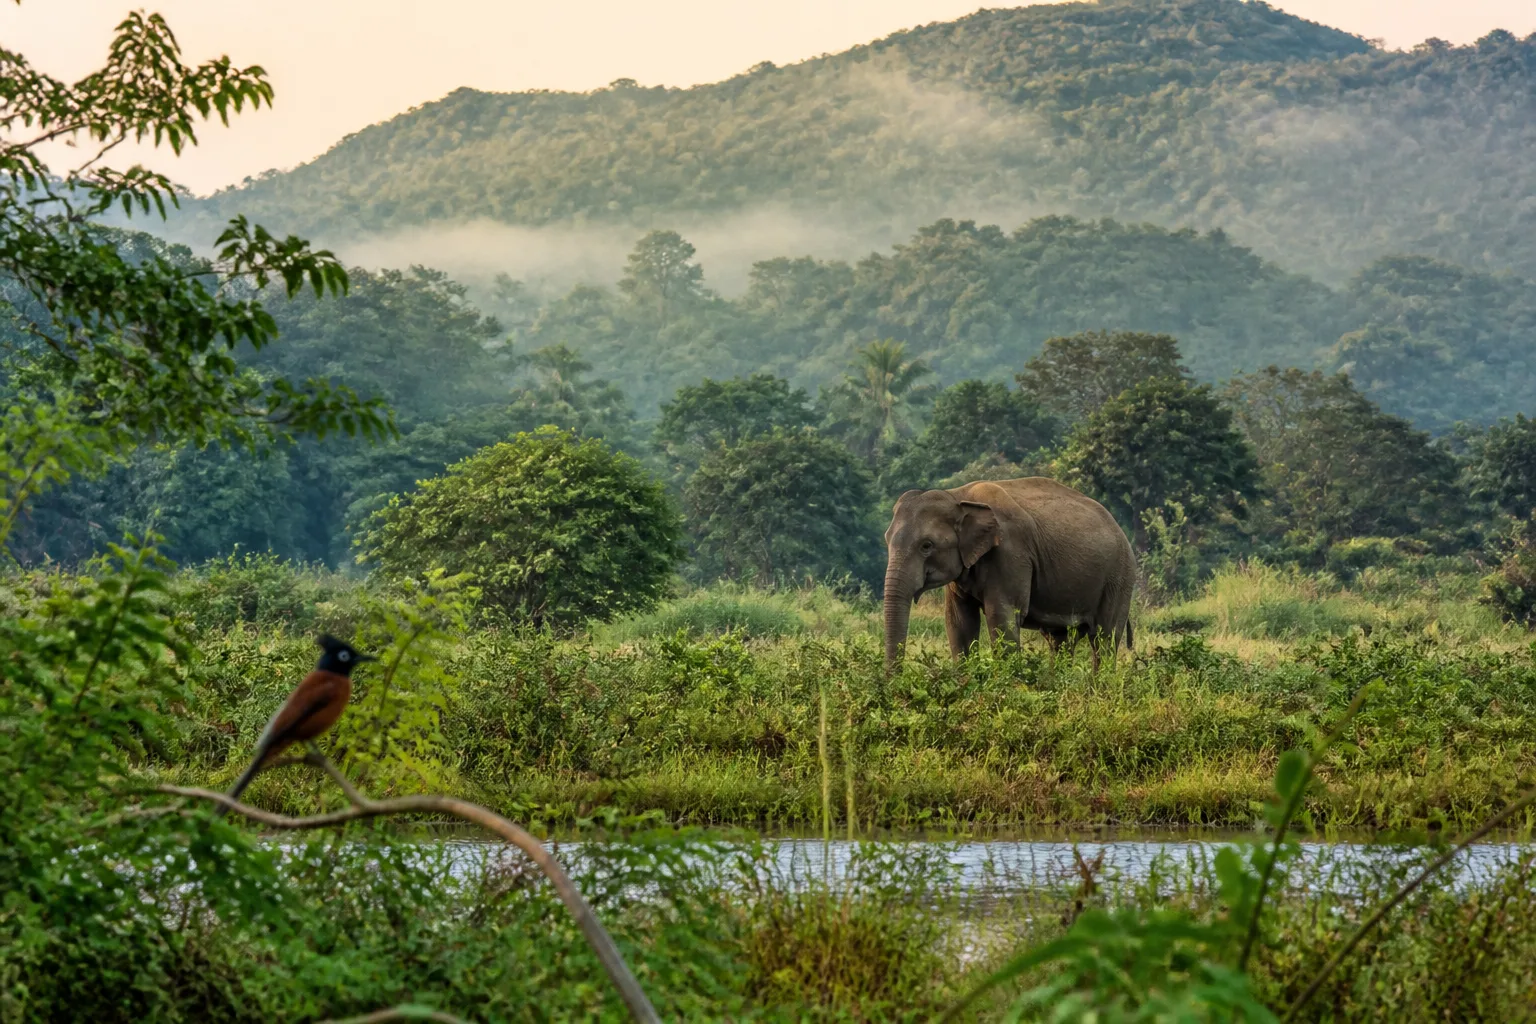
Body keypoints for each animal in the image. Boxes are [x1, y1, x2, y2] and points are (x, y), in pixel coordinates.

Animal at [881, 478, 1136, 670]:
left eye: (927, 546)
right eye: (886, 540)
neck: (958, 496)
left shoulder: (1010, 553)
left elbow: (1002, 616)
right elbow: (959, 622)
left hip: (1119, 578)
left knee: (1104, 638)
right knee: (1060, 640)